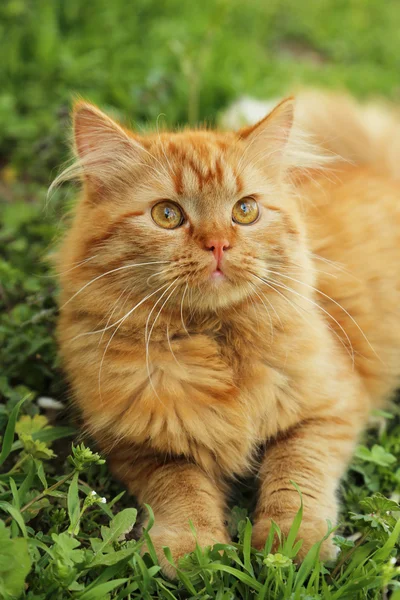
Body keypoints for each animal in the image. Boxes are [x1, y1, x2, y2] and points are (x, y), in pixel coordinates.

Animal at [54, 92, 400, 576]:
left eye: (245, 211)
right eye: (167, 215)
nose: (218, 244)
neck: (214, 338)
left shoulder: (329, 410)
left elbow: (296, 477)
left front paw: (289, 546)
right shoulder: (141, 445)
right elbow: (183, 491)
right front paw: (194, 550)